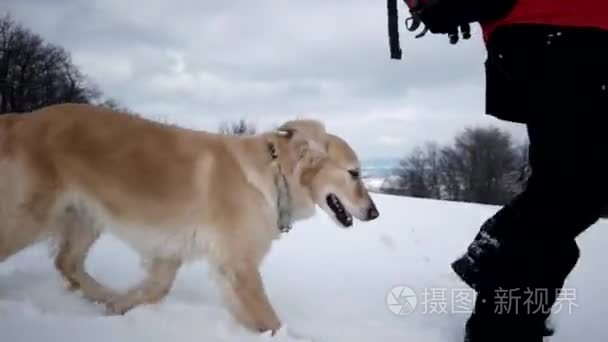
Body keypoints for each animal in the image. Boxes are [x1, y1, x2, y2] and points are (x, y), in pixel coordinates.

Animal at [0, 104, 378, 334]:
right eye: (354, 173)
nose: (374, 213)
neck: (275, 175)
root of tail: (20, 118)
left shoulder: (170, 254)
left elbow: (153, 291)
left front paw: (121, 307)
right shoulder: (238, 266)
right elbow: (270, 321)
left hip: (85, 216)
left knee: (67, 263)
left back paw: (104, 296)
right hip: (30, 217)